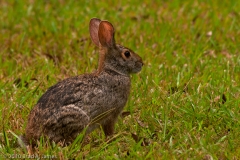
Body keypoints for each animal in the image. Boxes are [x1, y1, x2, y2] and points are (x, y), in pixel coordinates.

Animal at [21, 17, 142, 146]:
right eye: (127, 54)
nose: (141, 63)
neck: (113, 71)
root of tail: (32, 137)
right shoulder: (111, 115)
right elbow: (109, 131)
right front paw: (114, 139)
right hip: (75, 119)